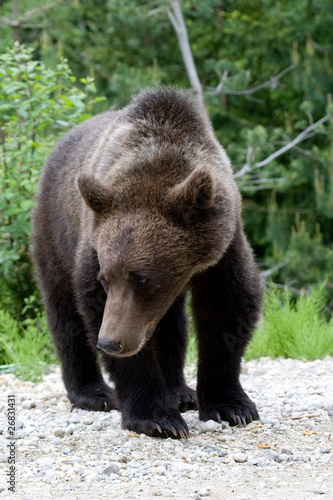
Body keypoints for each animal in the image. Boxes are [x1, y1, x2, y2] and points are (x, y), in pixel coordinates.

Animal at [32, 87, 264, 438]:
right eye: (105, 279)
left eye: (141, 277)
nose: (110, 341)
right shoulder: (93, 243)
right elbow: (93, 307)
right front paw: (157, 417)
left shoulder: (223, 246)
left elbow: (228, 306)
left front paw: (231, 406)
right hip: (55, 226)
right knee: (64, 307)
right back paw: (93, 392)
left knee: (171, 324)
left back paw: (181, 391)